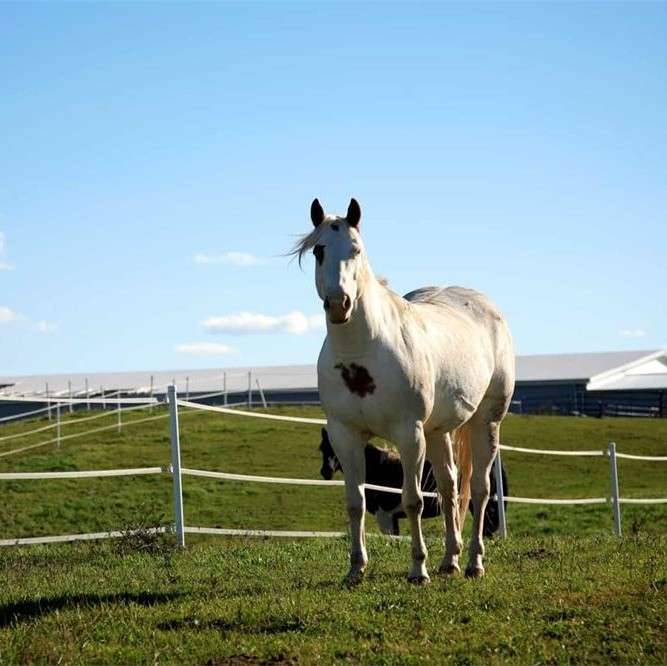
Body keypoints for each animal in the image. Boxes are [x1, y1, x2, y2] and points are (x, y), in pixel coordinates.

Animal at [296, 197, 516, 580]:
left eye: (356, 249)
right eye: (319, 251)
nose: (339, 305)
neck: (361, 356)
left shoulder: (408, 433)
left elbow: (412, 501)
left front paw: (417, 569)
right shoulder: (345, 435)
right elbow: (355, 503)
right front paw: (355, 569)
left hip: (485, 422)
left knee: (479, 490)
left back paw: (473, 562)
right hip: (437, 432)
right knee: (449, 487)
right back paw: (450, 560)